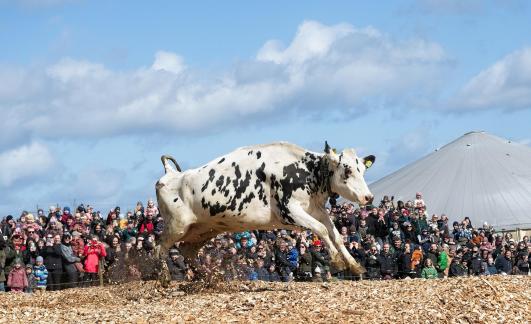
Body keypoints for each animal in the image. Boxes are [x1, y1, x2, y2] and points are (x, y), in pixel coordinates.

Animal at [156, 140, 376, 274]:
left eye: (362, 170)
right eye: (347, 171)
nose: (368, 197)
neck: (305, 171)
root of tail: (170, 175)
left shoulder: (316, 209)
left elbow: (335, 234)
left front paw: (354, 265)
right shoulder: (289, 211)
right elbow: (321, 230)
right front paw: (336, 261)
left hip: (202, 230)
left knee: (187, 252)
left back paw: (207, 276)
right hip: (176, 226)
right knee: (160, 249)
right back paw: (163, 278)